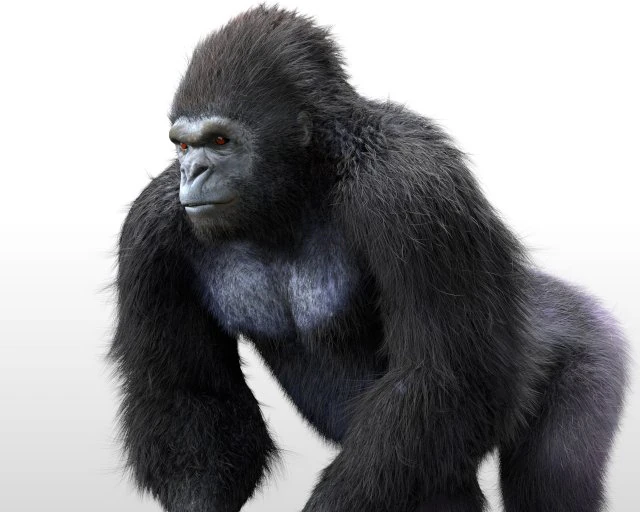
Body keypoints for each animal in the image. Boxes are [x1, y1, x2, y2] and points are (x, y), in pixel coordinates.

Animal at [110, 6, 629, 512]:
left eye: (220, 141)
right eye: (183, 144)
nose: (192, 171)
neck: (305, 179)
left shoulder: (411, 190)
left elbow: (440, 376)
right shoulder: (151, 233)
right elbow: (191, 397)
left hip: (594, 345)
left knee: (551, 477)